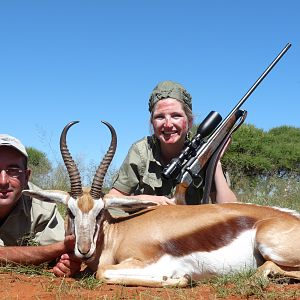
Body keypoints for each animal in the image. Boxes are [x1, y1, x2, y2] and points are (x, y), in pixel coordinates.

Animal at [22, 120, 300, 288]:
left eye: (100, 213)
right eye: (70, 211)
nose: (83, 249)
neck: (118, 235)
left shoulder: (149, 261)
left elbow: (104, 272)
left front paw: (178, 278)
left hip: (267, 244)